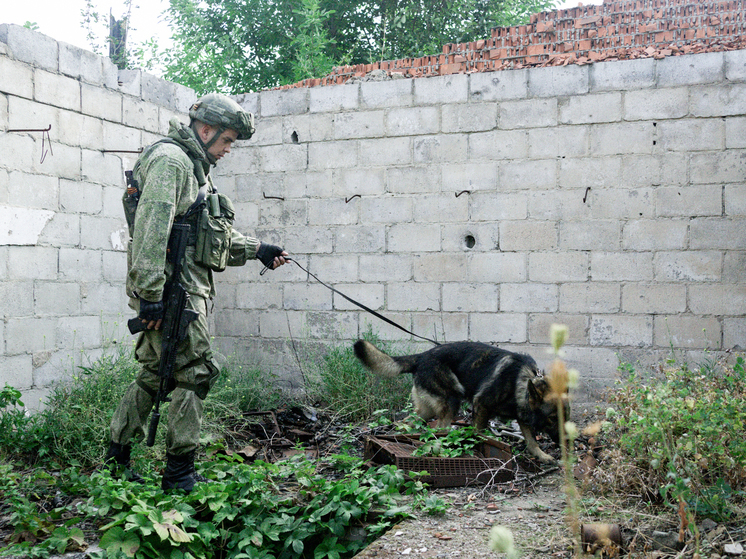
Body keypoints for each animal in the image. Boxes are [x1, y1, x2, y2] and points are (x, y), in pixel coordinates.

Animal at [352, 342, 568, 464]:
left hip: (426, 411)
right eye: (552, 418)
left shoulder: (522, 416)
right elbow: (479, 434)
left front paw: (541, 456)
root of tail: (421, 357)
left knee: (405, 423)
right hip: (451, 401)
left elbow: (531, 440)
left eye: (565, 418)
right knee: (438, 430)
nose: (567, 443)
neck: (520, 382)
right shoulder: (481, 405)